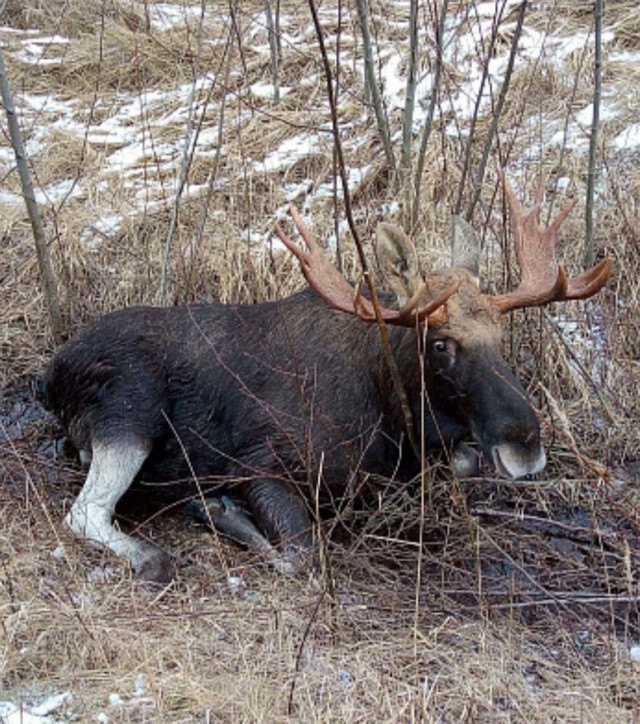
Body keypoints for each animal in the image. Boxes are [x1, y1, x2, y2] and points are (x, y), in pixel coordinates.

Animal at [38, 175, 608, 584]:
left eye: (501, 335)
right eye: (441, 344)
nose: (525, 443)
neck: (389, 421)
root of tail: (50, 373)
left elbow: (462, 462)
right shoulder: (264, 464)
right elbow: (303, 555)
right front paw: (222, 508)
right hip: (129, 414)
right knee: (85, 514)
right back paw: (160, 549)